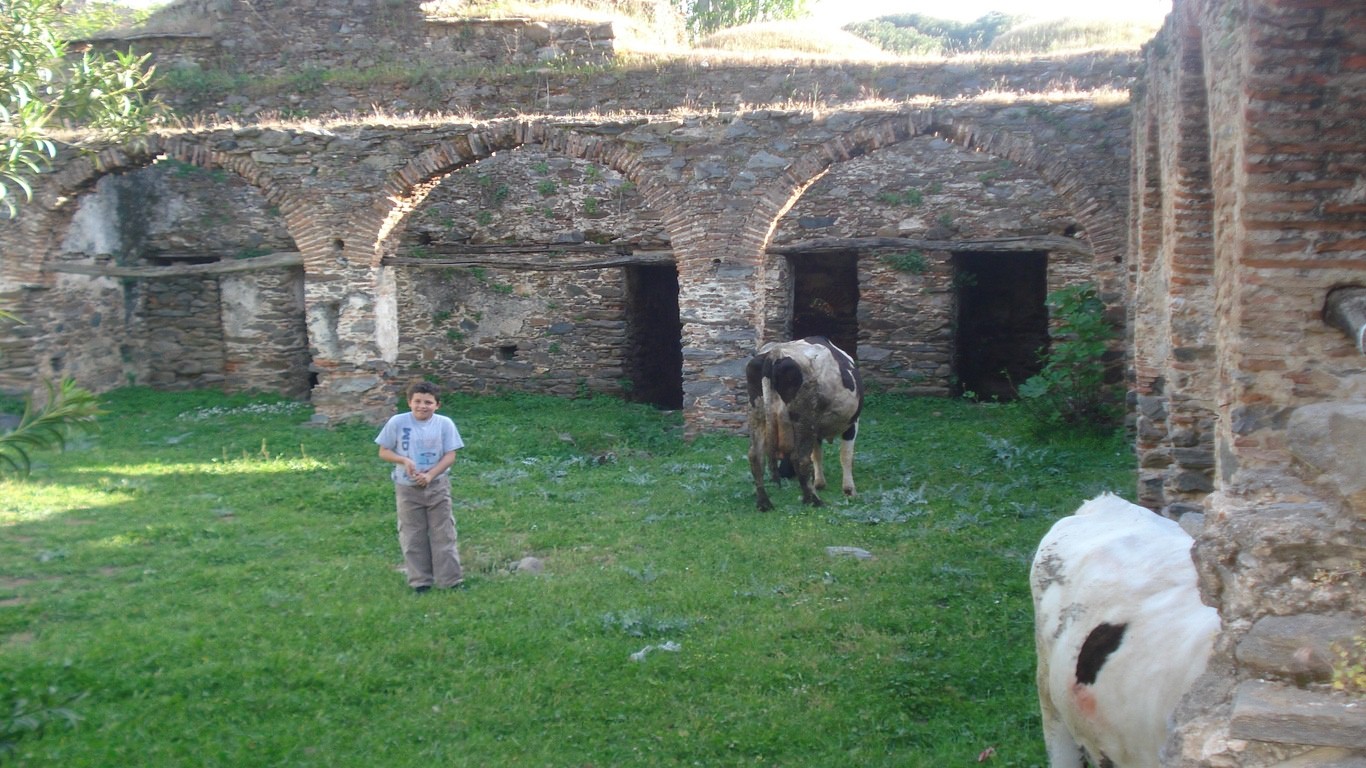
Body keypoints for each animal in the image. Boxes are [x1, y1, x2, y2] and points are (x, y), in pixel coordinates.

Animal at [745, 336, 863, 511]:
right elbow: (846, 456)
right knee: (800, 458)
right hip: (804, 418)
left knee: (756, 457)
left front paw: (819, 483)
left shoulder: (816, 430)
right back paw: (813, 500)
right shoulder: (852, 423)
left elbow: (817, 455)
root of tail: (775, 353)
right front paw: (849, 490)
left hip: (758, 415)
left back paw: (764, 503)